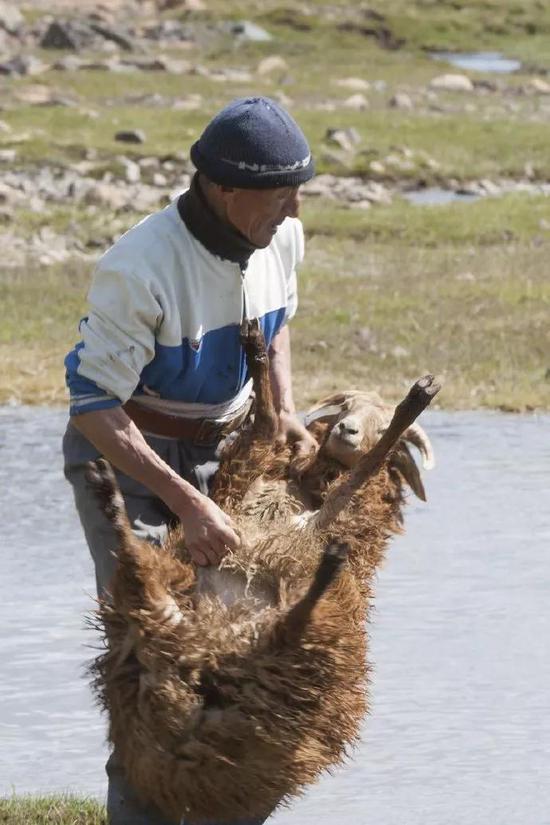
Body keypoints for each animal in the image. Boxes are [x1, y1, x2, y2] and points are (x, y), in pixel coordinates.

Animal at [85, 318, 440, 820]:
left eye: (375, 418)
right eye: (346, 405)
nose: (346, 430)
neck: (299, 487)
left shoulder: (314, 521)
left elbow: (357, 472)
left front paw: (410, 404)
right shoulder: (244, 481)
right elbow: (271, 426)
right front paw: (255, 348)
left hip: (291, 658)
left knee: (292, 622)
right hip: (182, 610)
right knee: (142, 574)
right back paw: (108, 496)